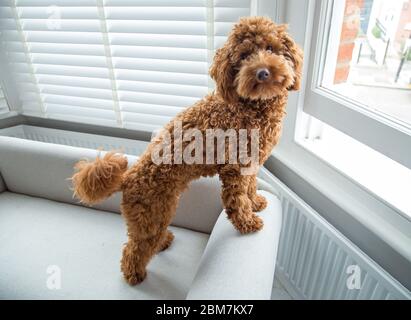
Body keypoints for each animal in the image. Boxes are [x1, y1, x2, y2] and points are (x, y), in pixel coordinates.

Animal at [71, 16, 302, 286]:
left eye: (271, 48)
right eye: (244, 56)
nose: (263, 72)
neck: (248, 106)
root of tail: (127, 179)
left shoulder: (250, 166)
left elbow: (250, 188)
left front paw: (255, 202)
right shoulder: (234, 169)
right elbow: (237, 201)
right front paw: (248, 222)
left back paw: (164, 242)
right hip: (152, 214)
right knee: (134, 249)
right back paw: (135, 275)